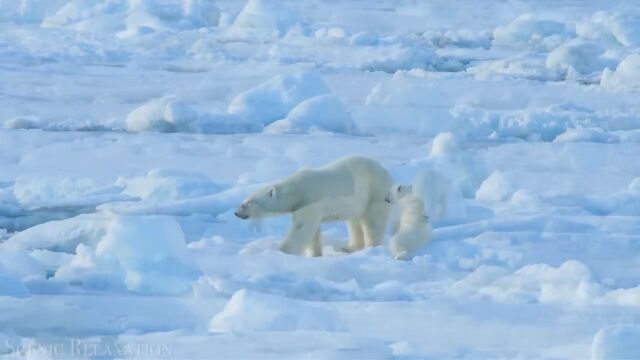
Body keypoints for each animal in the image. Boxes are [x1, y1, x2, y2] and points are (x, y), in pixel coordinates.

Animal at [236, 157, 396, 256]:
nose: (236, 213)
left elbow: (302, 227)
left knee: (373, 222)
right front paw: (315, 254)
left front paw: (282, 250)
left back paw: (370, 247)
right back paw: (349, 248)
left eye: (248, 203)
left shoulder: (309, 201)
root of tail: (386, 171)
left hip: (375, 191)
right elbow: (313, 232)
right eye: (244, 201)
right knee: (354, 222)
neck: (296, 188)